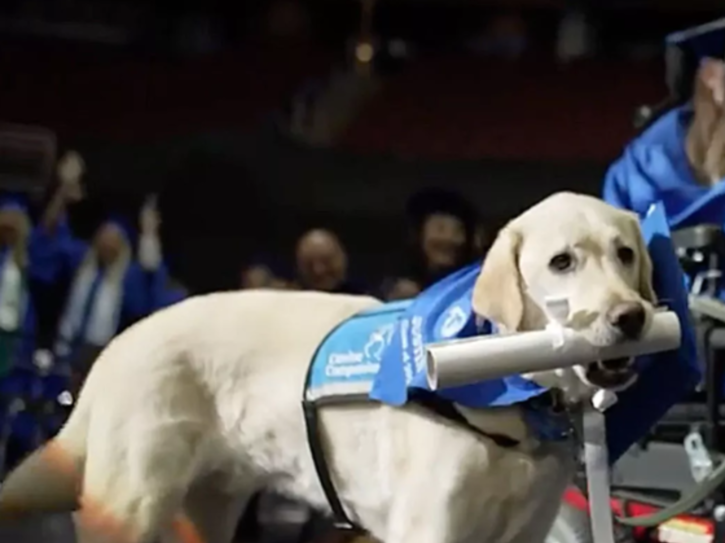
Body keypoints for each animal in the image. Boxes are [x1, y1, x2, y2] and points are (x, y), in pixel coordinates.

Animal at [0, 193, 652, 543]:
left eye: (625, 253)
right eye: (562, 261)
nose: (632, 317)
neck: (512, 398)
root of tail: (119, 342)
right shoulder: (428, 528)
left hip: (206, 511)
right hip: (130, 510)